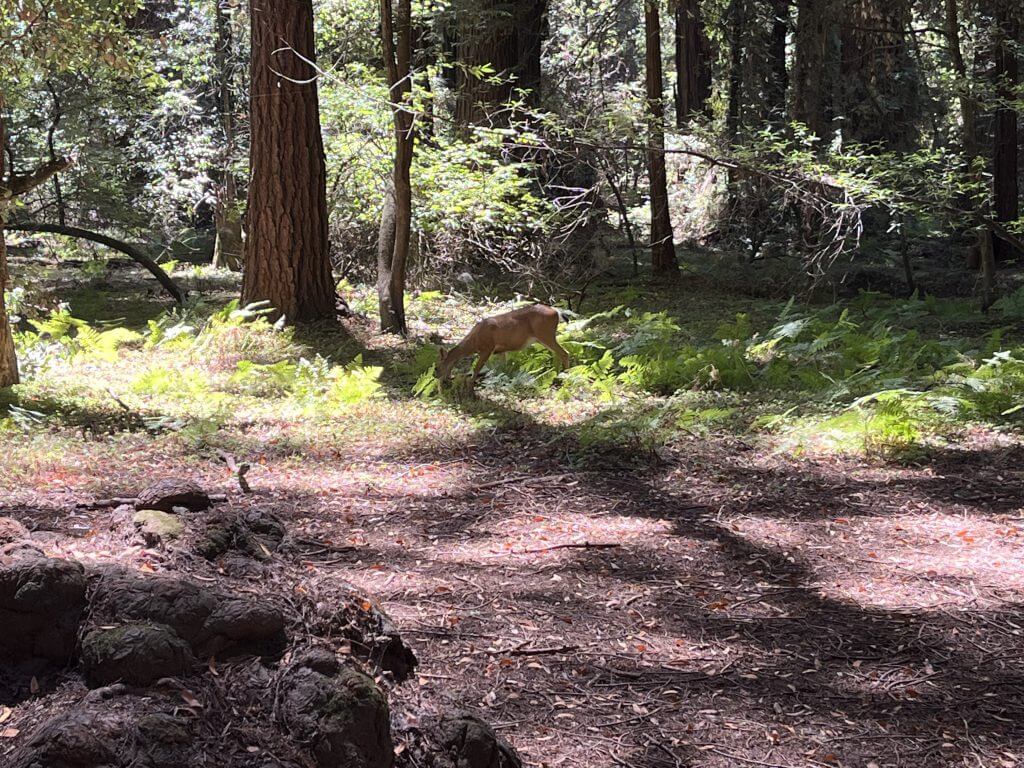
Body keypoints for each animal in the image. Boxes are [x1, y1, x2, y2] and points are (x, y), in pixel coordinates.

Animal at [436, 305, 573, 391]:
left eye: (437, 367)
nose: (441, 380)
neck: (474, 342)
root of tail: (556, 312)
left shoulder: (488, 348)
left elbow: (477, 368)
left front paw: (470, 386)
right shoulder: (501, 351)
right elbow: (502, 369)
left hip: (545, 334)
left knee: (564, 352)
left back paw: (565, 377)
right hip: (544, 337)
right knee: (558, 353)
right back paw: (558, 375)